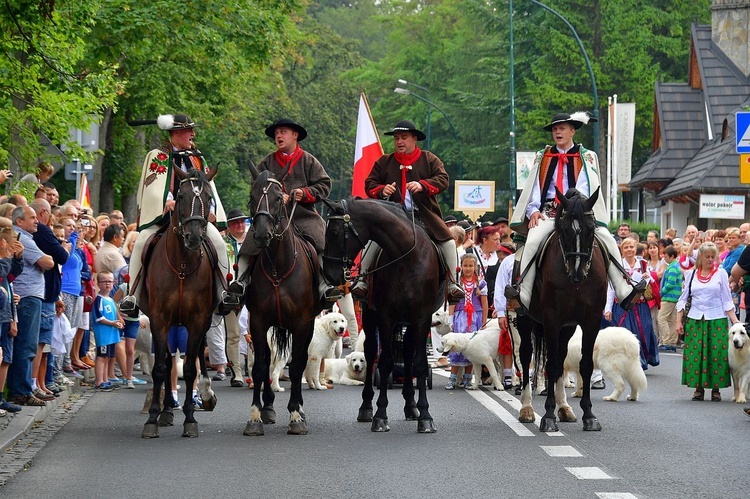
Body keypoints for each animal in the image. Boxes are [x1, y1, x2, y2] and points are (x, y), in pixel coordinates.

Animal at [140, 167, 219, 438]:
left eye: (209, 198)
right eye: (181, 196)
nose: (194, 237)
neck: (183, 264)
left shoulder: (197, 320)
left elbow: (190, 368)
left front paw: (190, 419)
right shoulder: (159, 319)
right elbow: (161, 368)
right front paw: (153, 418)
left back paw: (206, 393)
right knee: (167, 362)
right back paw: (165, 411)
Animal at [242, 162, 322, 436]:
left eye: (279, 198)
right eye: (252, 197)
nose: (261, 234)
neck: (278, 265)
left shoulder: (301, 324)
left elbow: (297, 366)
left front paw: (296, 415)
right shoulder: (257, 322)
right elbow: (259, 367)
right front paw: (255, 416)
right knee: (267, 361)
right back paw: (268, 407)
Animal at [322, 198, 440, 434]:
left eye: (335, 232)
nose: (329, 274)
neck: (408, 256)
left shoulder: (421, 317)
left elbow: (420, 363)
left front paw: (425, 415)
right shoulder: (386, 317)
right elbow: (384, 362)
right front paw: (380, 415)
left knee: (407, 352)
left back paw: (411, 405)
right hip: (370, 315)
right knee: (370, 353)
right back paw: (366, 407)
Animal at [516, 188, 612, 434]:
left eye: (591, 229)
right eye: (565, 229)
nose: (578, 273)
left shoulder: (590, 321)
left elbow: (584, 364)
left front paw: (588, 415)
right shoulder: (552, 319)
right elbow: (549, 365)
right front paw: (548, 416)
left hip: (567, 328)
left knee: (560, 358)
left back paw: (564, 408)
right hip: (525, 320)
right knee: (526, 355)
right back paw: (527, 408)